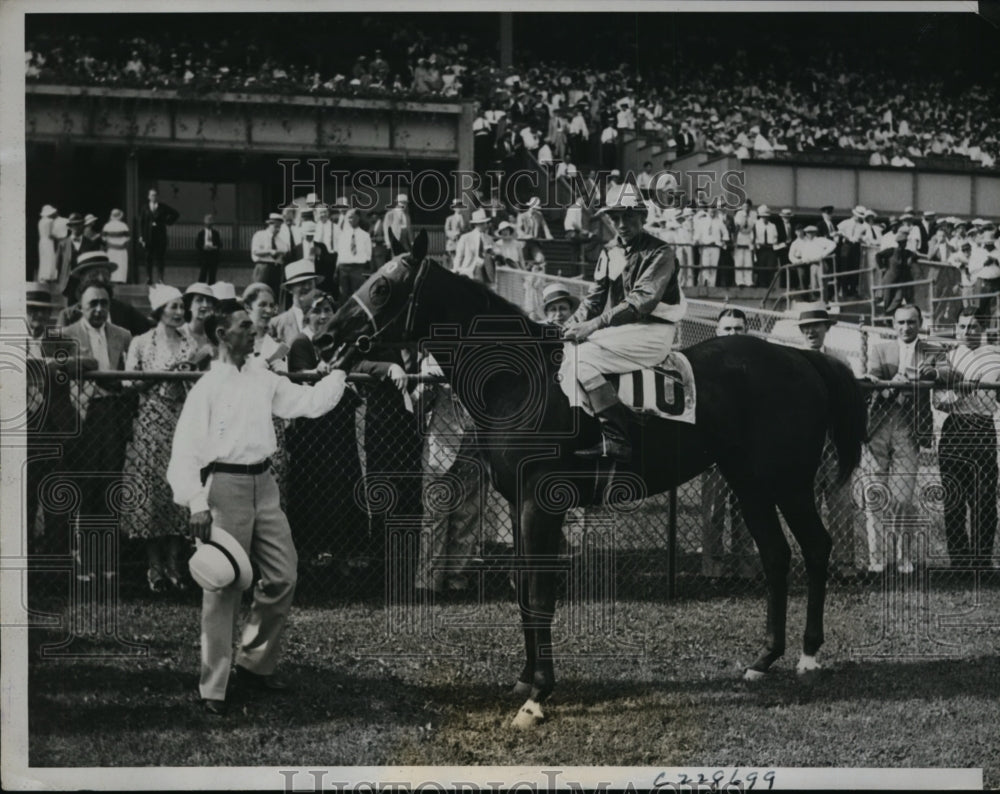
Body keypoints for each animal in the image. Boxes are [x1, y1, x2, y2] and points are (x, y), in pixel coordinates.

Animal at [318, 227, 868, 724]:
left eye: (382, 287)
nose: (325, 336)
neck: (519, 380)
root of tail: (802, 356)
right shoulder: (518, 502)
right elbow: (524, 588)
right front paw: (525, 678)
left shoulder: (541, 502)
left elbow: (540, 592)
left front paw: (538, 695)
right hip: (750, 484)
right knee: (777, 556)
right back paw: (764, 659)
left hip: (786, 482)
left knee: (814, 547)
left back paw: (808, 654)